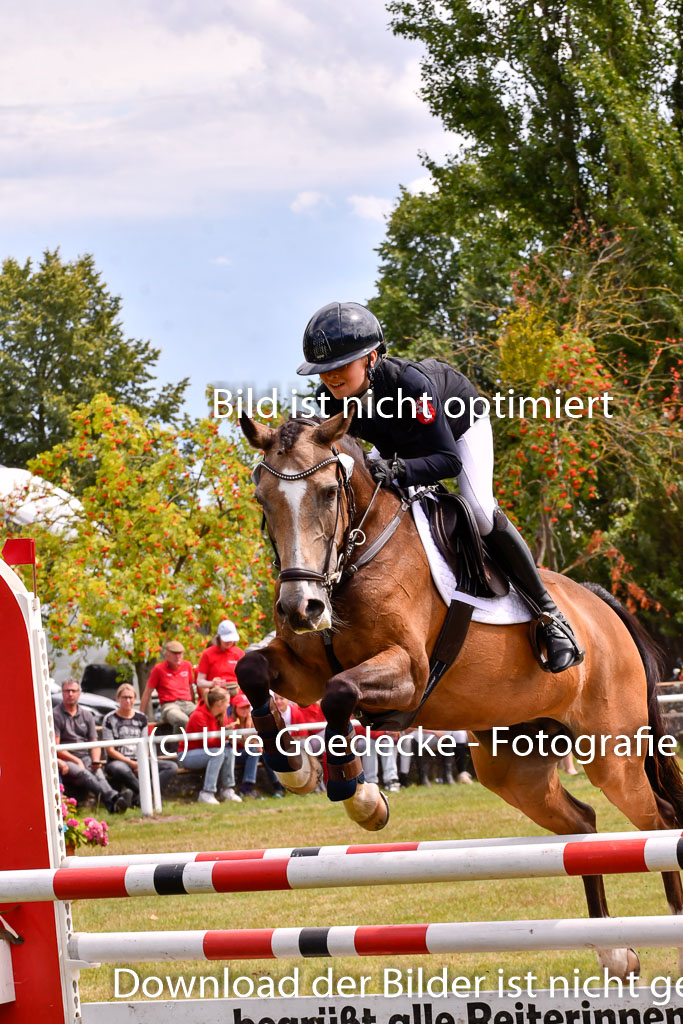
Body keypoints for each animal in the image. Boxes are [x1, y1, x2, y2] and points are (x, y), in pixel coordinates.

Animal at [233, 411, 683, 978]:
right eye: (262, 498)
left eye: (328, 493)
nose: (300, 608)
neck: (357, 555)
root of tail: (605, 609)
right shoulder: (303, 668)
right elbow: (252, 670)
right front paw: (296, 769)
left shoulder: (408, 671)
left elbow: (339, 694)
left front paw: (362, 799)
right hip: (515, 767)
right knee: (582, 825)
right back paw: (614, 951)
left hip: (613, 756)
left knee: (659, 822)